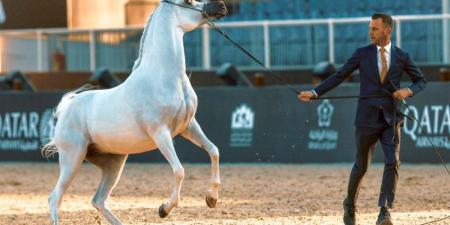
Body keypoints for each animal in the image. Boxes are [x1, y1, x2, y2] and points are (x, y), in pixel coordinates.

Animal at [43, 0, 227, 224]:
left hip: (113, 164)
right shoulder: (161, 133)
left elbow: (214, 151)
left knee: (98, 200)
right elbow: (179, 171)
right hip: (72, 159)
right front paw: (164, 209)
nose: (221, 6)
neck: (163, 77)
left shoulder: (189, 126)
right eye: (188, 2)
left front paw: (212, 198)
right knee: (55, 198)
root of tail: (66, 107)